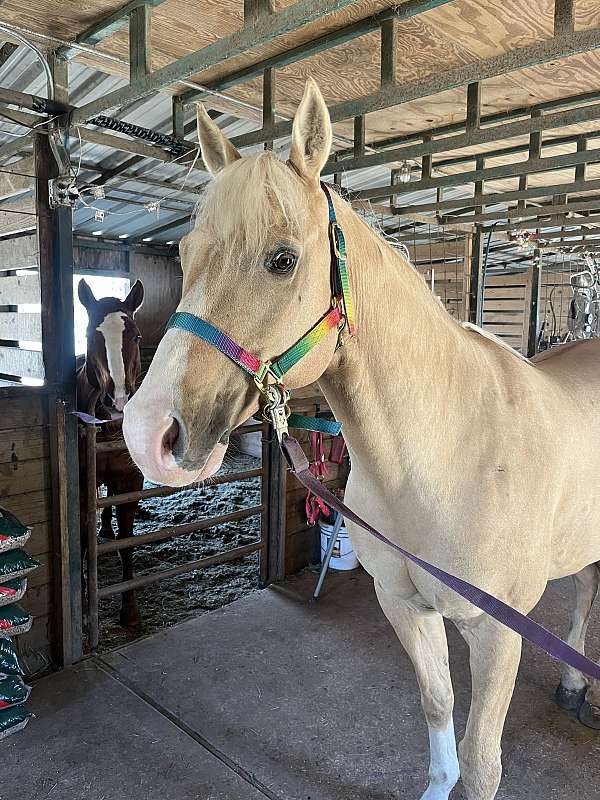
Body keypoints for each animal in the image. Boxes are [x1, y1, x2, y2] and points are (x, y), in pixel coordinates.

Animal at [122, 83, 600, 800]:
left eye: (283, 259)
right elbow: (437, 707)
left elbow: (482, 761)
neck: (446, 461)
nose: (147, 432)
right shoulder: (404, 608)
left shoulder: (497, 633)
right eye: (184, 255)